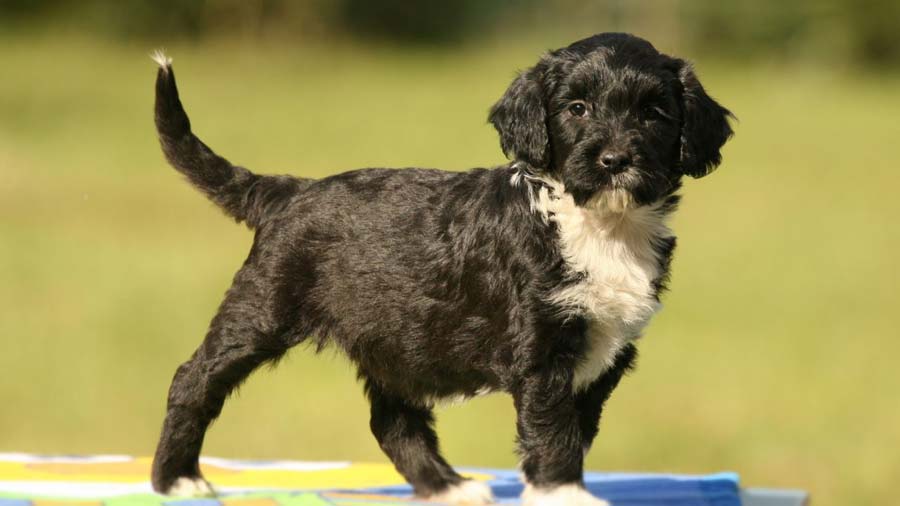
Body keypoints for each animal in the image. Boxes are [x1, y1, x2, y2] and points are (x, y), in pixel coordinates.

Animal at [151, 33, 736, 504]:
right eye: (577, 107)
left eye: (653, 113)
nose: (615, 161)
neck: (596, 224)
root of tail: (287, 190)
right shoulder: (543, 353)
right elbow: (553, 433)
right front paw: (563, 493)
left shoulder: (605, 354)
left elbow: (575, 431)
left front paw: (555, 489)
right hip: (262, 308)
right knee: (193, 379)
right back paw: (176, 480)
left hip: (395, 337)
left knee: (392, 422)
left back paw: (446, 486)